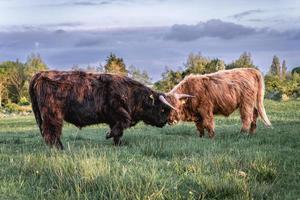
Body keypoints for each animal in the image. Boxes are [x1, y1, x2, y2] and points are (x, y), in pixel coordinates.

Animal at [29, 70, 175, 148]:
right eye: (162, 109)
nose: (166, 121)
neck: (131, 93)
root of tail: (40, 74)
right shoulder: (118, 110)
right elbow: (123, 123)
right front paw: (108, 135)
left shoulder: (114, 119)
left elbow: (119, 130)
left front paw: (118, 143)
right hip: (52, 115)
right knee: (52, 131)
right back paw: (58, 148)